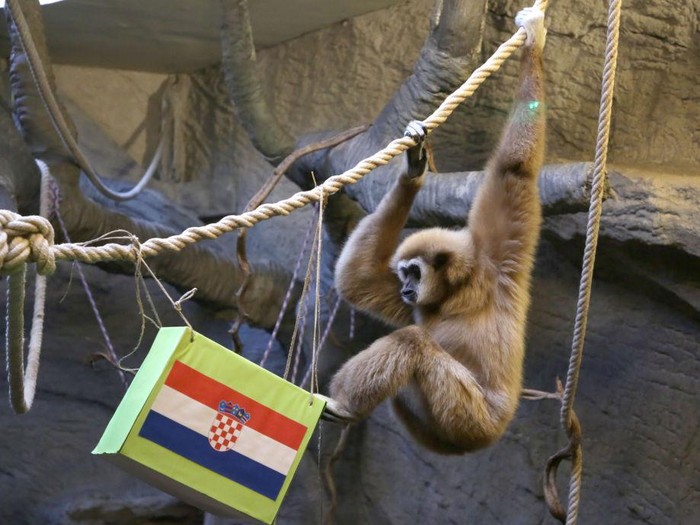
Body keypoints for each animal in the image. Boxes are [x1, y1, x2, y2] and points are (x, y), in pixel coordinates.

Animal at [325, 8, 547, 454]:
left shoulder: (499, 260)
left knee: (413, 344)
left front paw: (533, 41)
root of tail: (486, 436)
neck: (460, 290)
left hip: (468, 415)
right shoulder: (419, 301)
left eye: (414, 271)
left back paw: (343, 404)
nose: (408, 287)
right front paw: (413, 170)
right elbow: (358, 281)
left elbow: (514, 170)